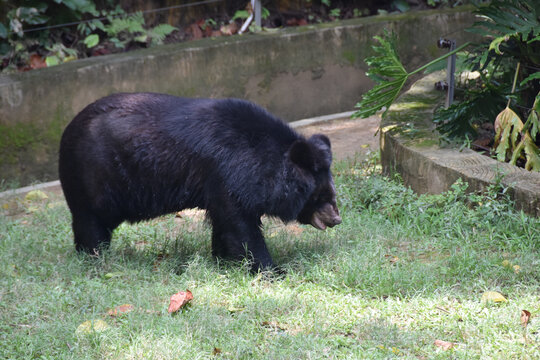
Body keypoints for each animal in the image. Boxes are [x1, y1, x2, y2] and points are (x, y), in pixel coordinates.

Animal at [59, 93, 342, 270]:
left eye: (331, 194)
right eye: (318, 196)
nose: (336, 219)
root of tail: (67, 131)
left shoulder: (225, 185)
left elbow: (224, 225)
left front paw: (222, 260)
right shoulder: (225, 175)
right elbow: (241, 228)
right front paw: (271, 269)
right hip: (93, 179)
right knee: (90, 223)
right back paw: (94, 257)